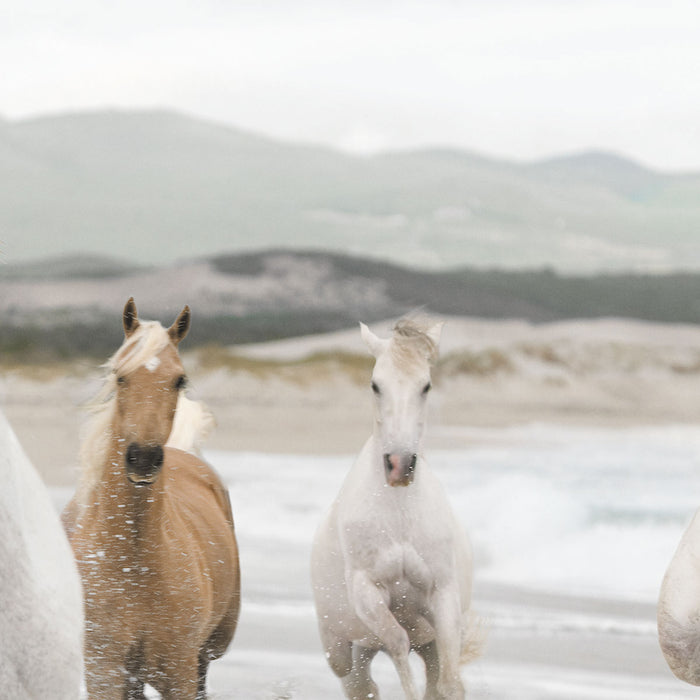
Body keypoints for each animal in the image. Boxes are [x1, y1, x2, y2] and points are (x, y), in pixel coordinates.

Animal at [62, 298, 240, 700]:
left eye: (180, 379)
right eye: (120, 375)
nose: (142, 457)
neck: (133, 565)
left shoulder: (179, 672)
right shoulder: (104, 671)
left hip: (205, 655)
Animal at [311, 319, 482, 700]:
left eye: (426, 385)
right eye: (376, 385)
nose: (399, 465)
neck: (399, 515)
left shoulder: (442, 595)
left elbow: (449, 682)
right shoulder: (368, 592)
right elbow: (398, 643)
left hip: (424, 642)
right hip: (345, 650)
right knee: (361, 683)